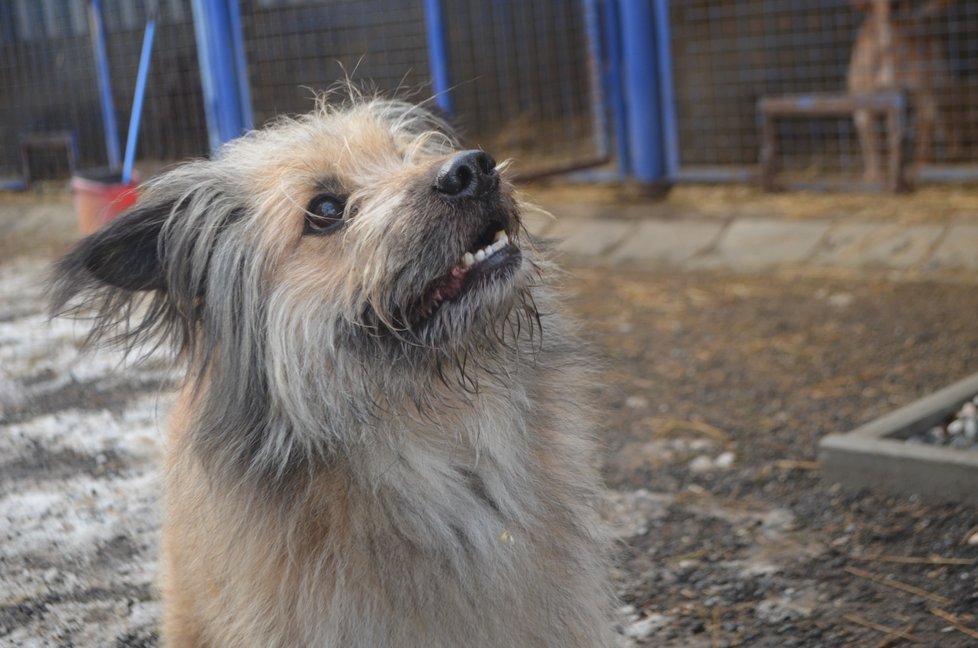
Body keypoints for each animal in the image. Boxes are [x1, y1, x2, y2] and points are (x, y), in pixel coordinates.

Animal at [844, 0, 956, 185]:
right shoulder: (864, 108)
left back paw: (924, 165)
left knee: (932, 128)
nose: (895, 5)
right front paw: (874, 175)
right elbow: (872, 146)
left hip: (933, 95)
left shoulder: (897, 101)